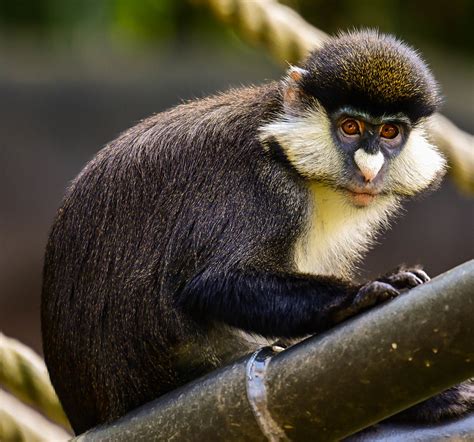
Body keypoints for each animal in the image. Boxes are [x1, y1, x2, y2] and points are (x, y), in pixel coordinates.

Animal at [41, 29, 474, 434]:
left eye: (389, 133)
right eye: (350, 127)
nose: (369, 170)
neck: (287, 154)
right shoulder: (267, 189)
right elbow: (217, 282)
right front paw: (358, 296)